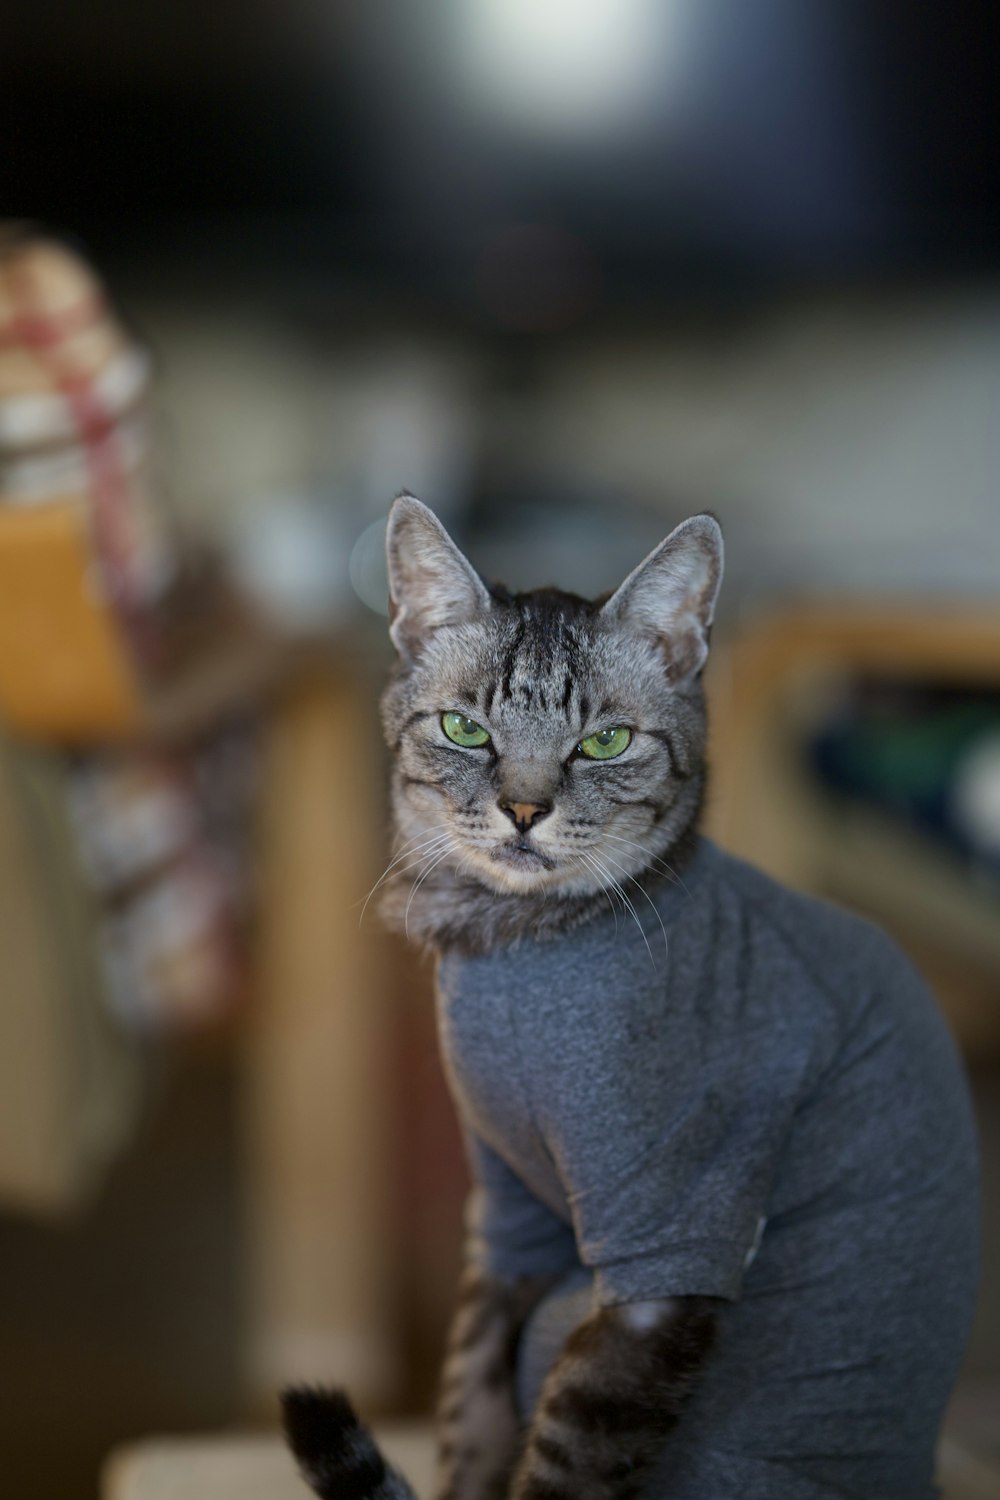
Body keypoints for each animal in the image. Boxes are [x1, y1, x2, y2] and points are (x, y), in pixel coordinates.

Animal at [284, 498, 983, 1500]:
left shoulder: (659, 1262)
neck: (513, 942)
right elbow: (468, 1416)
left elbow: (565, 1463)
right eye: (465, 729)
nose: (523, 810)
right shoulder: (507, 1227)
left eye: (604, 742)